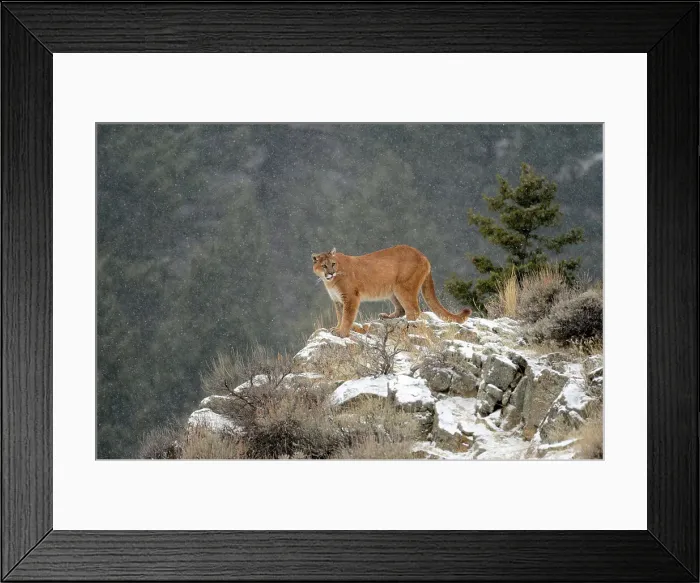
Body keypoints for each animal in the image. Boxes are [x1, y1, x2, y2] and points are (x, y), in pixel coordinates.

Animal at [312, 244, 472, 337]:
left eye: (333, 264)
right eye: (324, 266)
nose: (331, 273)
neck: (330, 282)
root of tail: (423, 255)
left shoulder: (351, 297)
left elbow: (347, 317)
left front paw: (342, 333)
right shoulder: (338, 300)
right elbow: (340, 316)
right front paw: (336, 328)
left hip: (403, 288)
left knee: (414, 311)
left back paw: (406, 325)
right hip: (392, 290)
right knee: (402, 309)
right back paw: (388, 317)